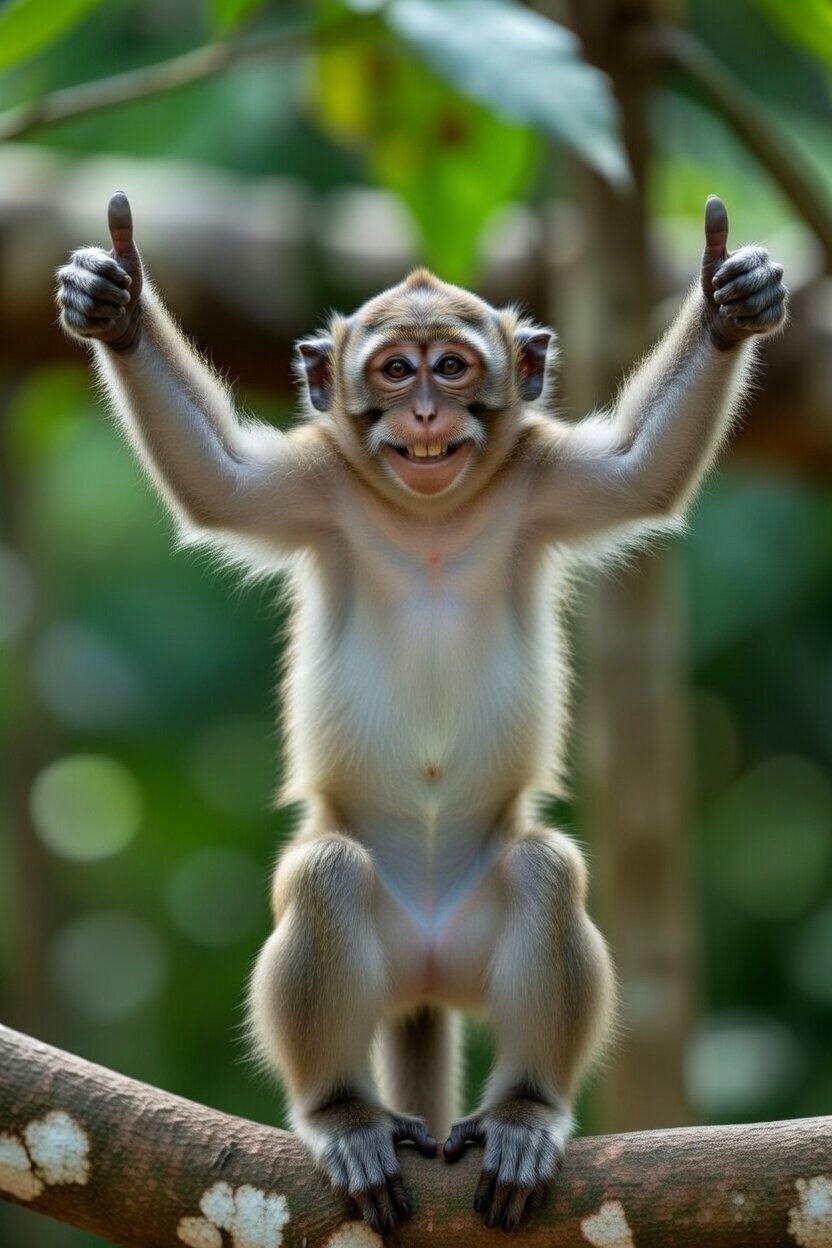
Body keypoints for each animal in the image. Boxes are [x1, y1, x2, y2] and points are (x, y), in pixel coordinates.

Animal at [56, 191, 786, 1232]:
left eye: (454, 366)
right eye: (395, 370)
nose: (428, 414)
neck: (430, 515)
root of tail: (429, 966)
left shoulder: (541, 474)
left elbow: (641, 472)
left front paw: (732, 301)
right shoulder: (315, 483)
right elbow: (217, 481)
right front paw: (113, 302)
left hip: (473, 936)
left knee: (543, 869)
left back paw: (524, 1111)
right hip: (381, 940)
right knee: (326, 874)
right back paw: (345, 1116)